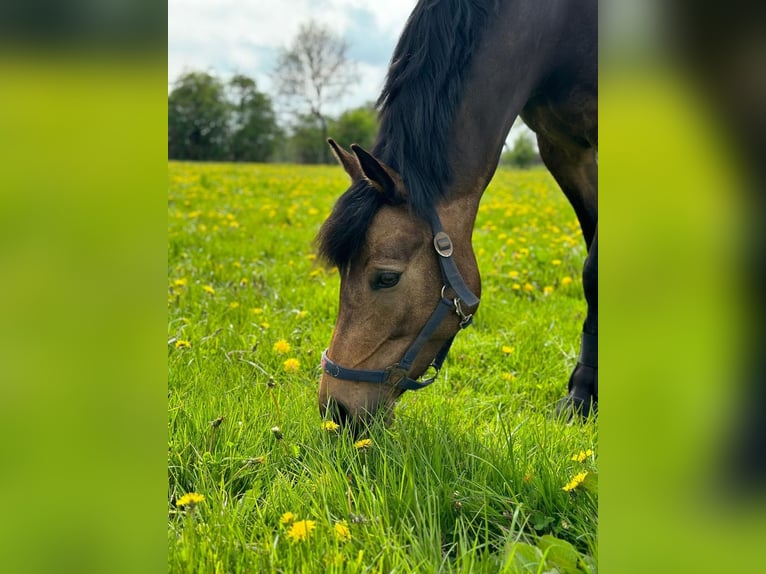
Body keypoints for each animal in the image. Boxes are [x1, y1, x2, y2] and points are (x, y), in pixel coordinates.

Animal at [316, 0, 600, 428]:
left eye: (386, 278)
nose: (336, 410)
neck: (560, 27)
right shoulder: (562, 147)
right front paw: (586, 390)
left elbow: (593, 270)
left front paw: (582, 397)